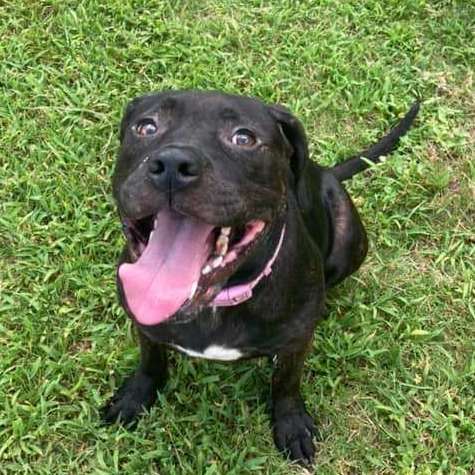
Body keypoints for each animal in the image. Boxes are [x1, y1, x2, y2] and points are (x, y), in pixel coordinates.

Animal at [102, 91, 418, 466]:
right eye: (146, 127)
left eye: (244, 138)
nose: (172, 164)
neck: (216, 302)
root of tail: (326, 171)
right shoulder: (144, 322)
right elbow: (151, 361)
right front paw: (135, 397)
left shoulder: (296, 343)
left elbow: (286, 383)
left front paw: (291, 424)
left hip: (351, 239)